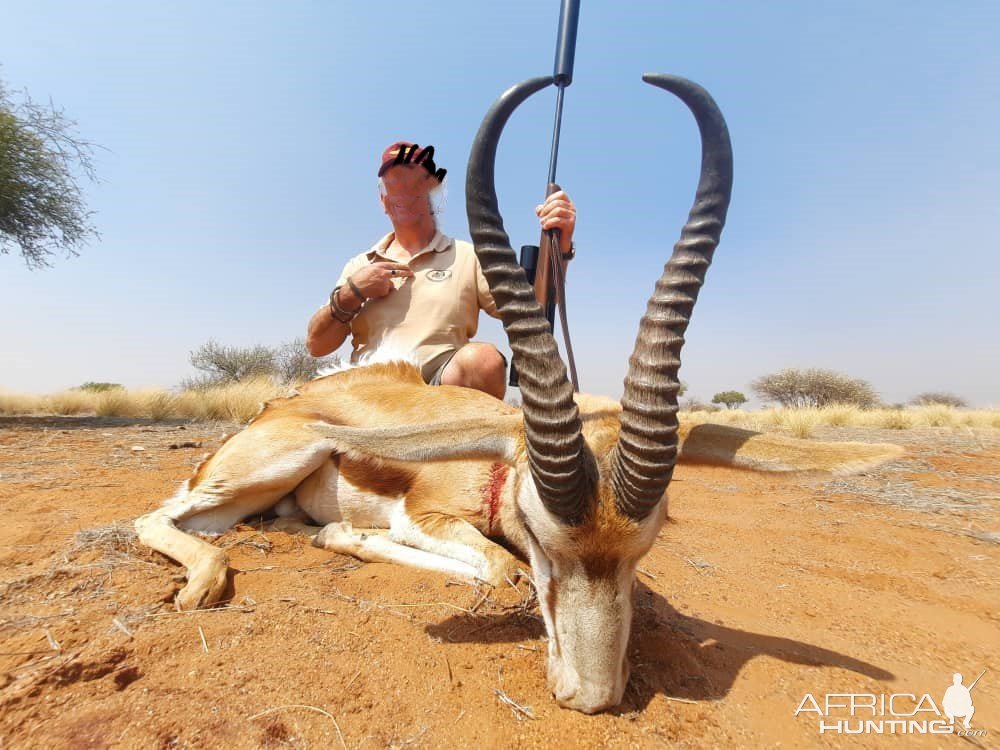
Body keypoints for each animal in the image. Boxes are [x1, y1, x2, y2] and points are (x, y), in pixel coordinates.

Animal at [135, 76, 908, 716]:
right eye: (541, 535)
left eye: (650, 543)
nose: (591, 698)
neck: (497, 468)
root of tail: (283, 406)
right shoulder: (428, 514)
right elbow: (501, 570)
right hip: (269, 467)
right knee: (157, 518)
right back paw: (208, 582)